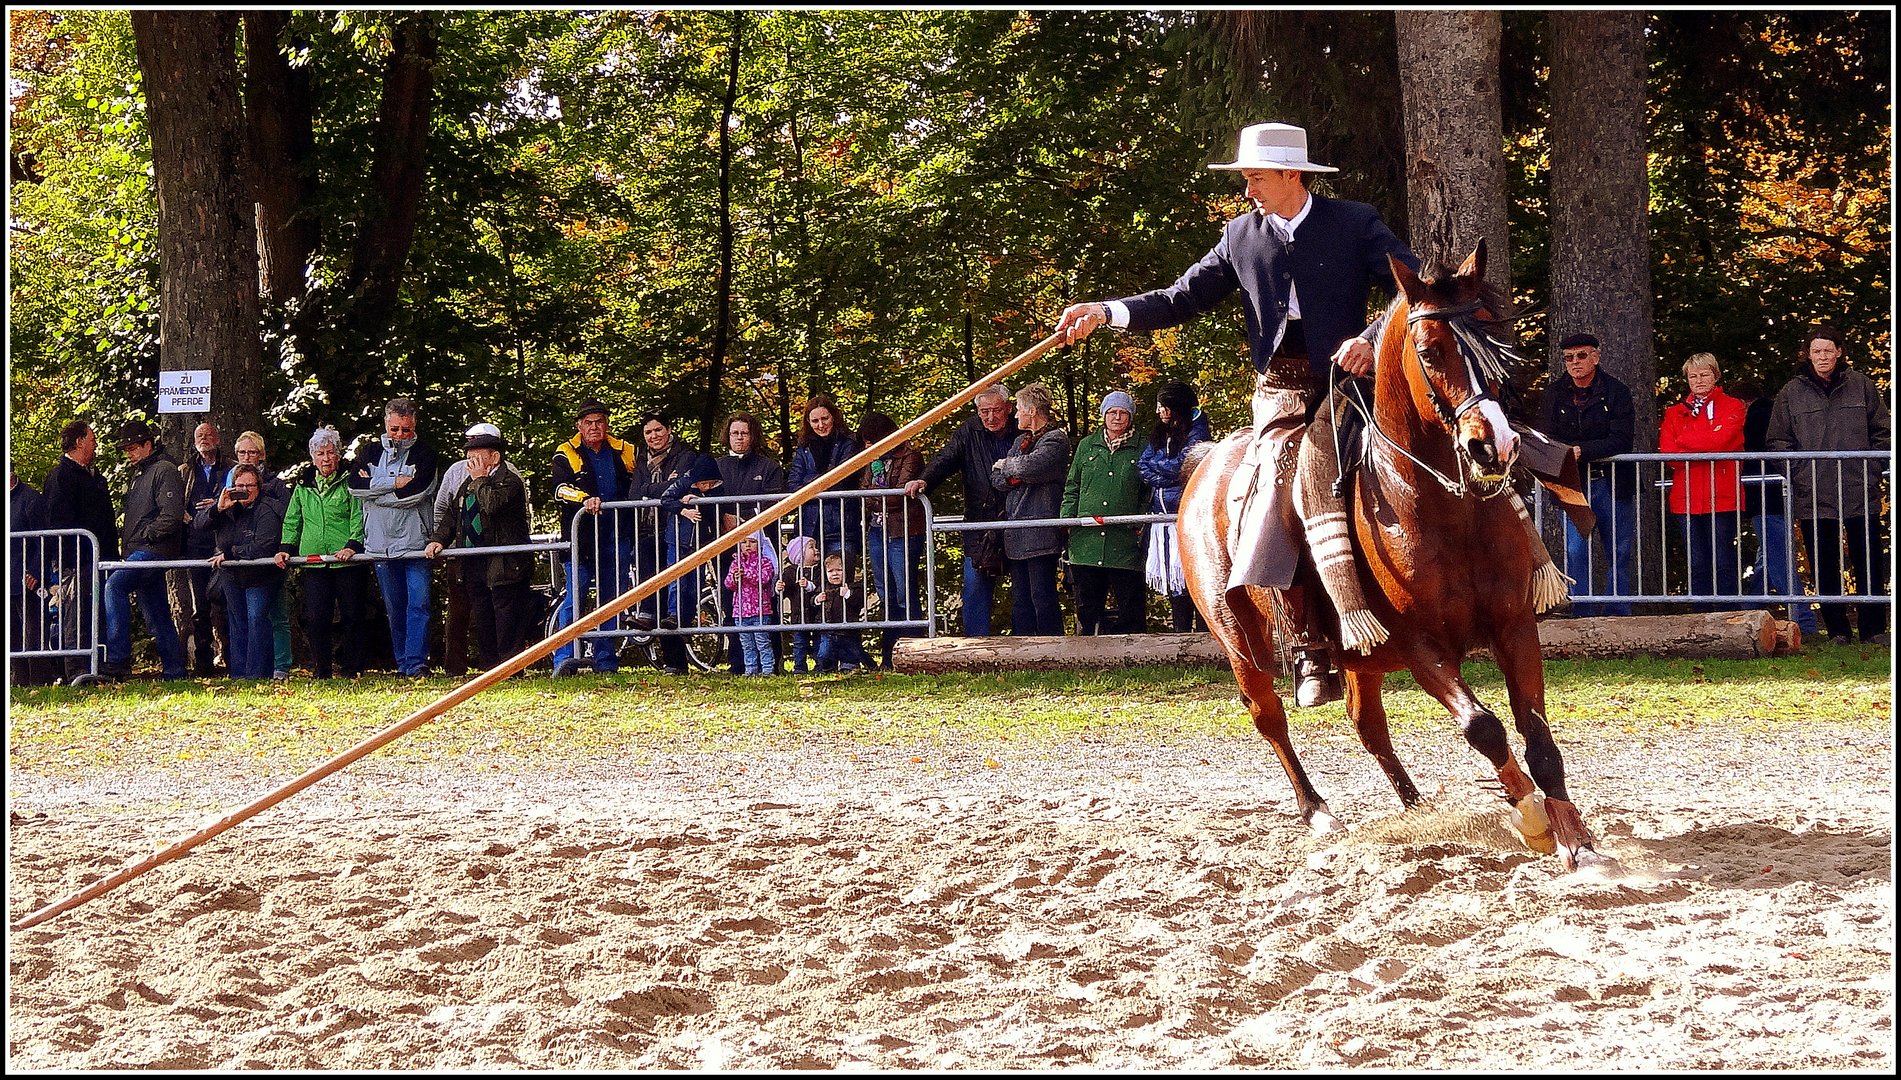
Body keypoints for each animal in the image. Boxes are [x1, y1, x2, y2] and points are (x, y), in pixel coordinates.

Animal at [1186, 242, 1604, 870]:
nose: (1494, 445)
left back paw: (1416, 808)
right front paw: (1531, 818)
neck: (1444, 505)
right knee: (1270, 719)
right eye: (1430, 351)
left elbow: (1538, 736)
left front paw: (1576, 840)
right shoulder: (1417, 642)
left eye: (1499, 344)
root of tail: (1204, 465)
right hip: (1241, 644)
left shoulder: (1514, 625)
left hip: (1362, 658)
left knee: (1368, 725)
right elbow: (1484, 727)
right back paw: (1317, 811)